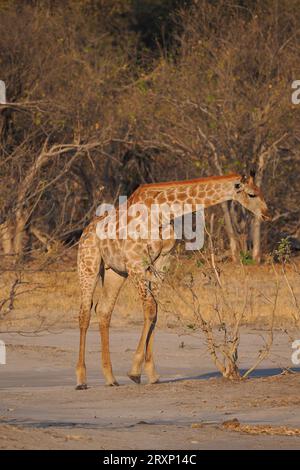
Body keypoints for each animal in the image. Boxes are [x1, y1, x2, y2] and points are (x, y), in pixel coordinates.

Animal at [75, 173, 270, 390]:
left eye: (261, 191)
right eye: (252, 194)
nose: (266, 215)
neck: (161, 214)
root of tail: (85, 231)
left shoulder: (160, 263)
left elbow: (154, 312)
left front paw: (151, 373)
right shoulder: (136, 264)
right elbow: (150, 309)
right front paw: (135, 372)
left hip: (114, 272)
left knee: (103, 311)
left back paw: (110, 378)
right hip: (88, 264)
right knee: (85, 313)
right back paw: (81, 379)